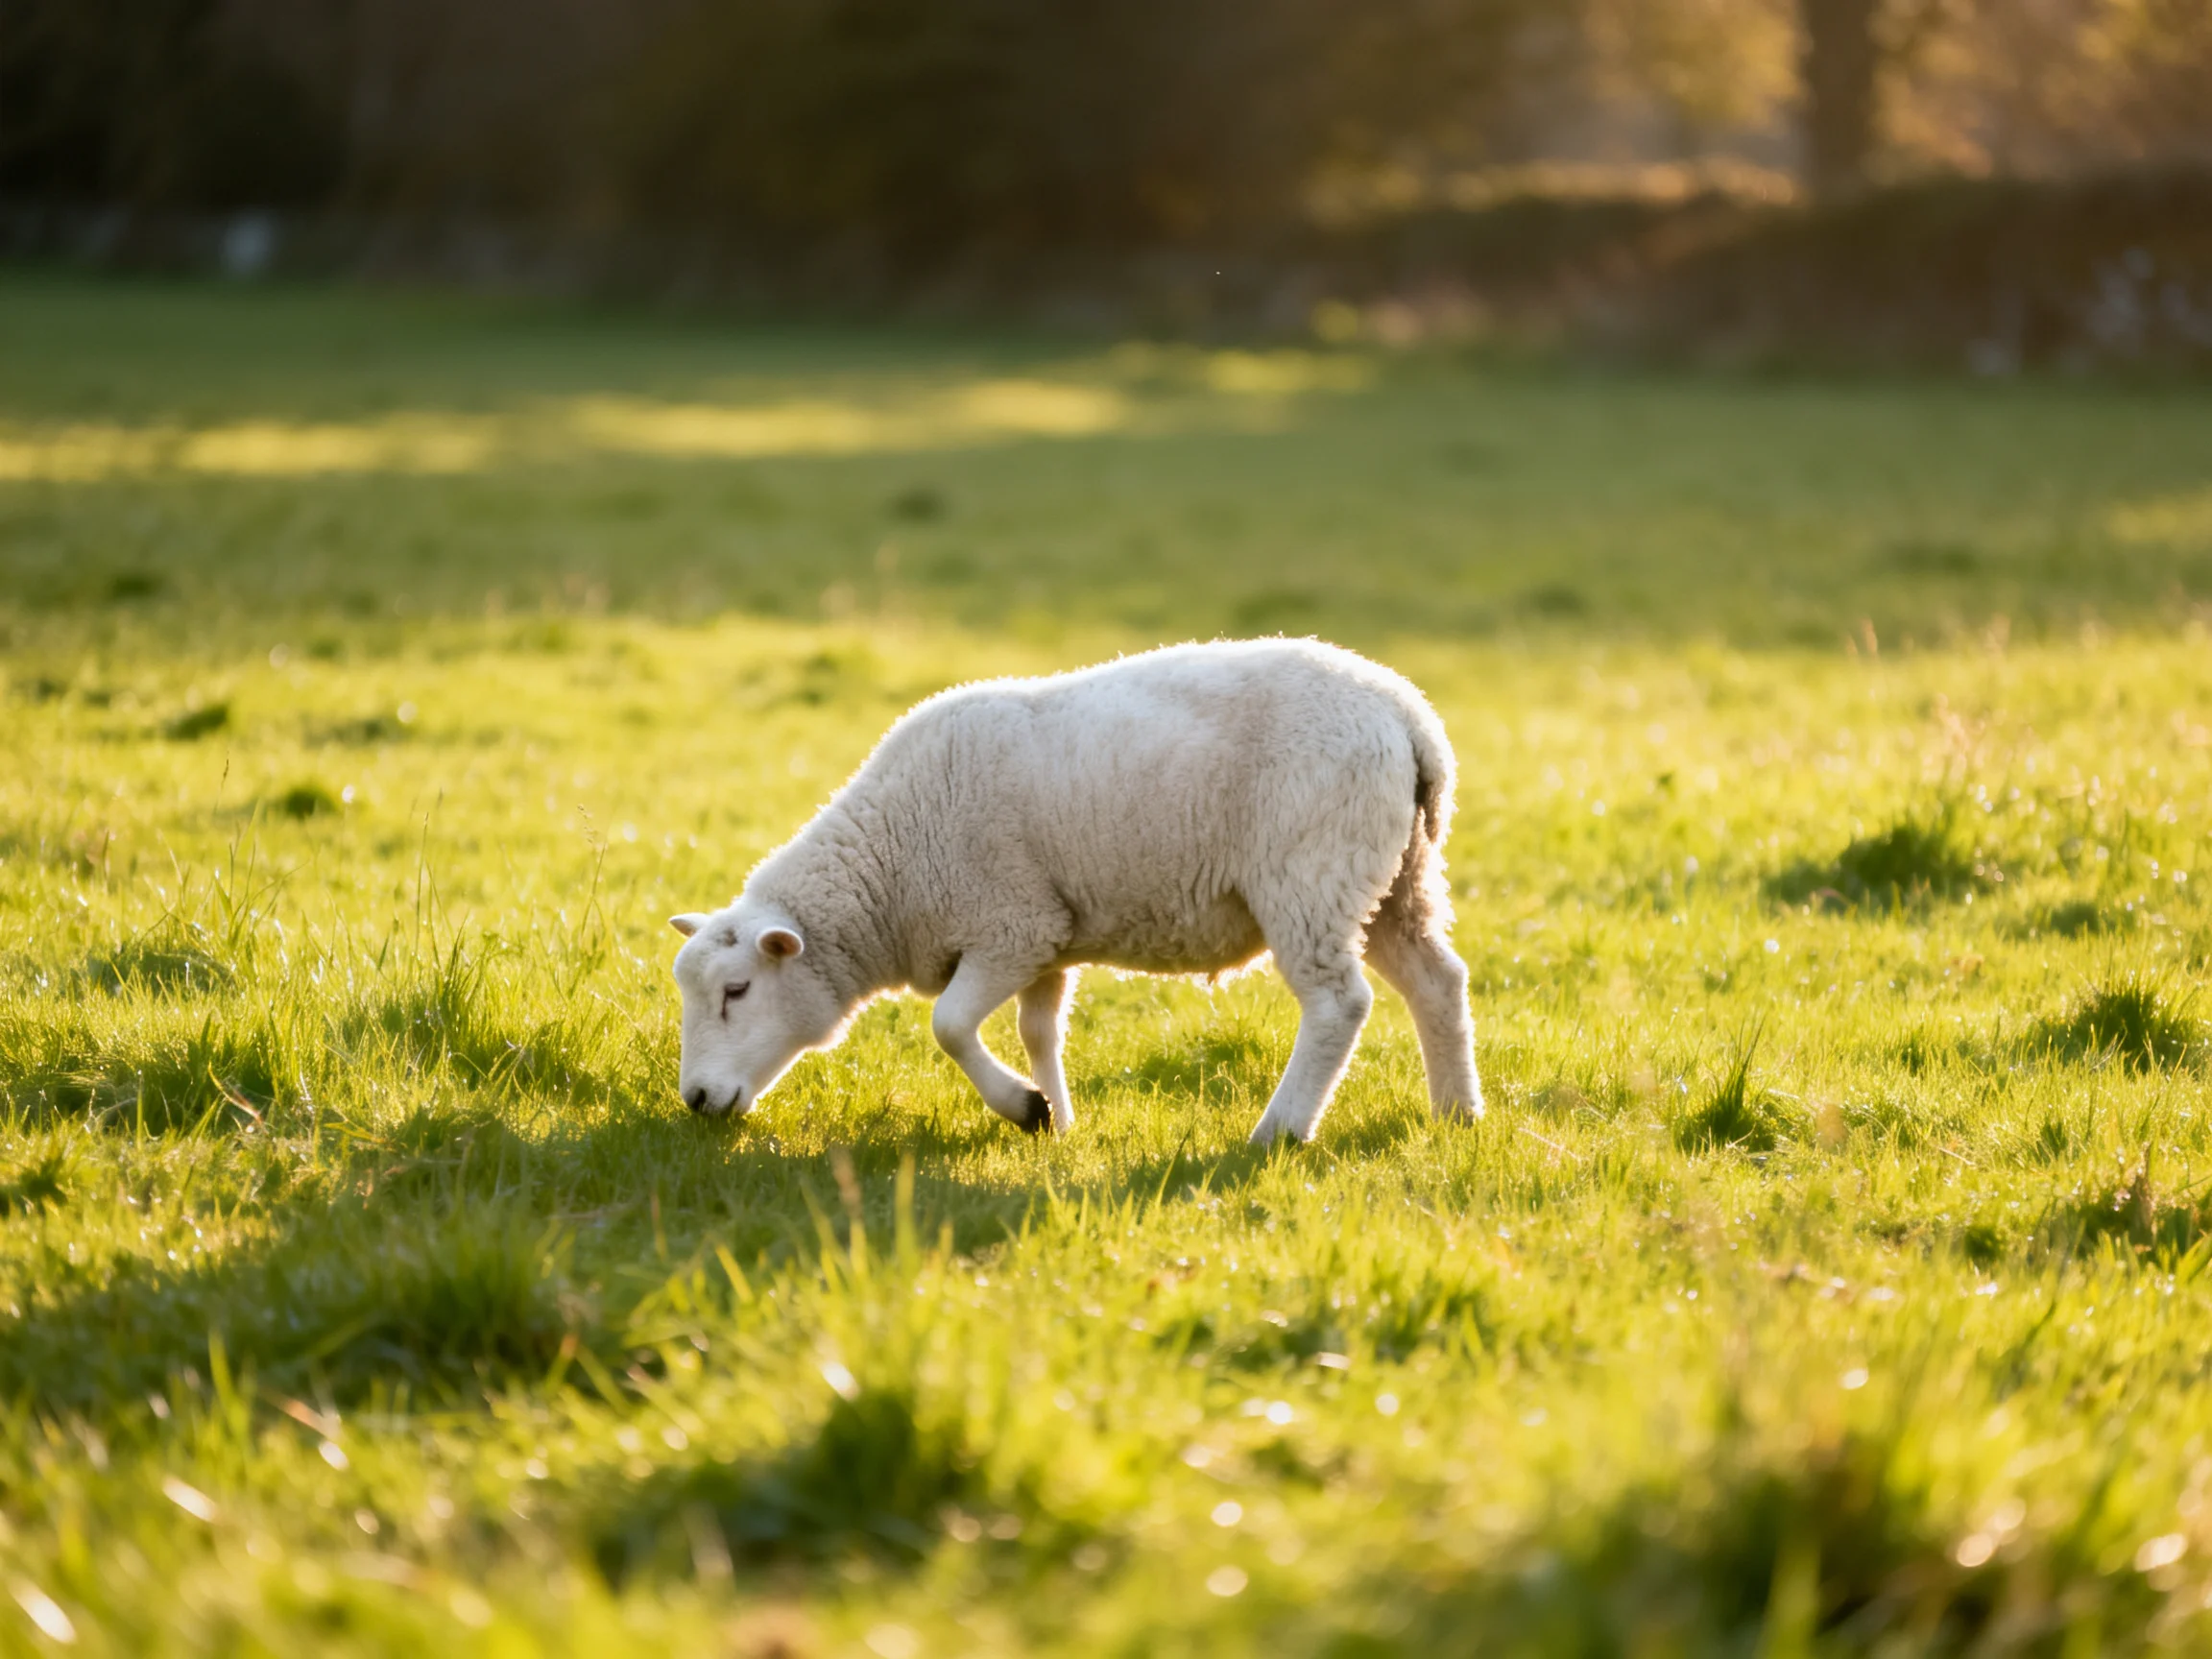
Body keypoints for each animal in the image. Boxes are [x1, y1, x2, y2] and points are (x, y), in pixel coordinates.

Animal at [668, 637, 1482, 1144]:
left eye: (736, 991)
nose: (697, 1100)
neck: (891, 869)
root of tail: (1409, 718)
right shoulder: (1048, 938)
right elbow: (1039, 1030)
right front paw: (1056, 1118)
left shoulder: (1009, 924)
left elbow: (950, 1025)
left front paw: (1021, 1108)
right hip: (1393, 877)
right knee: (1438, 982)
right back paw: (1457, 1112)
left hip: (1312, 871)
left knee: (1339, 1005)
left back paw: (1280, 1130)